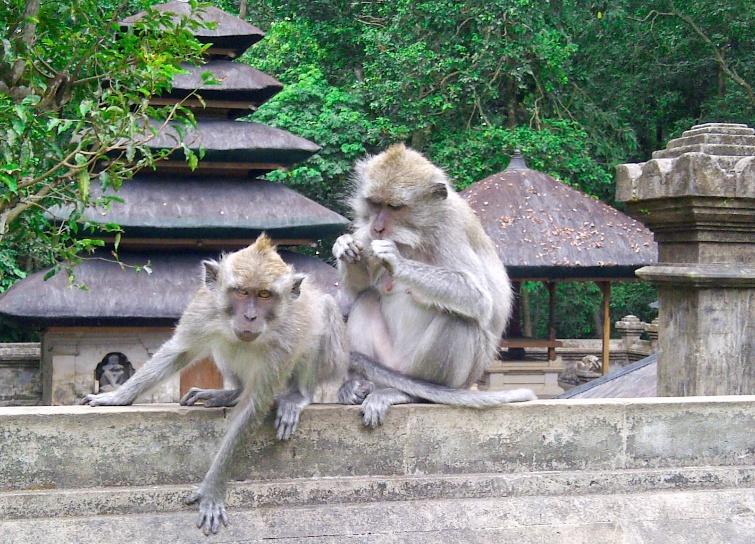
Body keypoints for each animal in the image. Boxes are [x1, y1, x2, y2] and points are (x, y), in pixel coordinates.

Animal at [79, 233, 346, 532]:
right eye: (241, 292)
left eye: (264, 295)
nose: (250, 317)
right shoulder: (204, 309)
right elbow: (179, 351)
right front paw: (116, 396)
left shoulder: (284, 340)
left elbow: (253, 406)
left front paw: (213, 488)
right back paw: (230, 393)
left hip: (332, 361)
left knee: (323, 311)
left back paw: (297, 395)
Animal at [336, 144, 536, 430]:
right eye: (375, 203)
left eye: (395, 206)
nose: (379, 226)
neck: (414, 235)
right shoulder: (365, 233)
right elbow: (356, 290)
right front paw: (344, 248)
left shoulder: (450, 229)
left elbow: (479, 297)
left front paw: (396, 260)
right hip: (387, 361)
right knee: (366, 299)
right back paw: (362, 385)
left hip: (441, 373)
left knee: (459, 319)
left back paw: (412, 392)